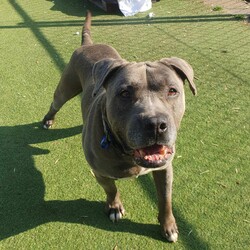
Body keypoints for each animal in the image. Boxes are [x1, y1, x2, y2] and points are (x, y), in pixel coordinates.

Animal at [42, 11, 196, 242]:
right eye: (124, 93)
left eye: (172, 91)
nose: (156, 124)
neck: (126, 152)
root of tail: (88, 44)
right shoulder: (100, 172)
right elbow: (111, 189)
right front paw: (114, 207)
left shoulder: (164, 168)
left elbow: (165, 199)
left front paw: (168, 225)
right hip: (65, 88)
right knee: (55, 103)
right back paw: (48, 119)